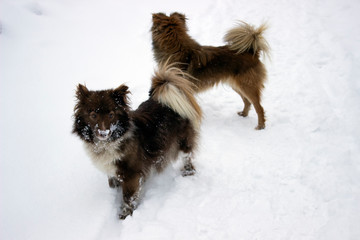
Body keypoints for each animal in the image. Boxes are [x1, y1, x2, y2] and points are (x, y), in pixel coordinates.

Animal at [72, 64, 202, 219]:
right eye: (93, 115)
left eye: (111, 114)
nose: (103, 133)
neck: (107, 143)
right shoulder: (112, 170)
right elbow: (112, 183)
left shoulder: (132, 174)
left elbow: (128, 197)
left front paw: (125, 215)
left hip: (183, 141)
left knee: (187, 156)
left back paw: (188, 172)